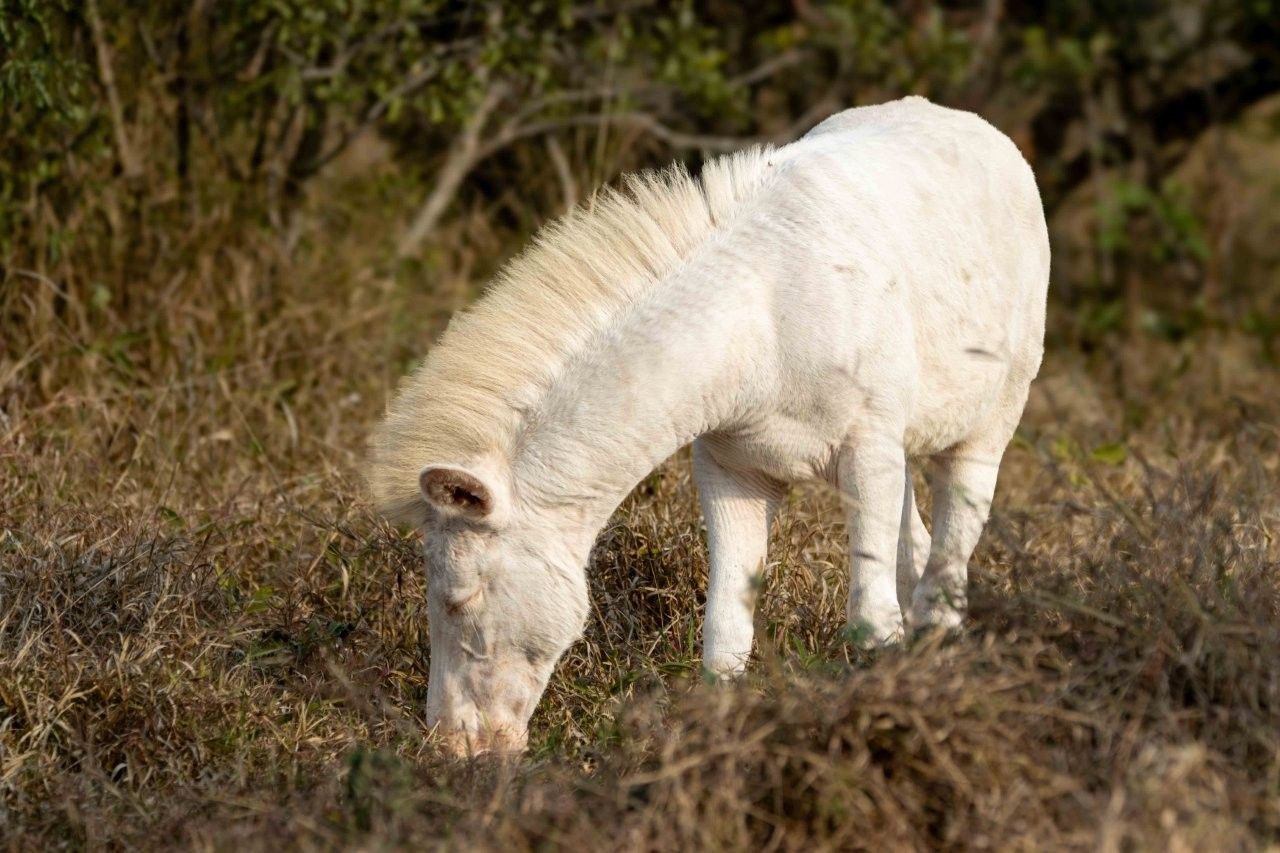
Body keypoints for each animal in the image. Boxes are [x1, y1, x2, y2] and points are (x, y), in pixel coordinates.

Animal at [370, 96, 1049, 755]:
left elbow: (871, 619)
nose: (455, 747)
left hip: (982, 433)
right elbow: (725, 636)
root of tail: (985, 134)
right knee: (919, 546)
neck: (762, 327)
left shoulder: (867, 456)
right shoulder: (734, 474)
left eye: (460, 599)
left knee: (949, 561)